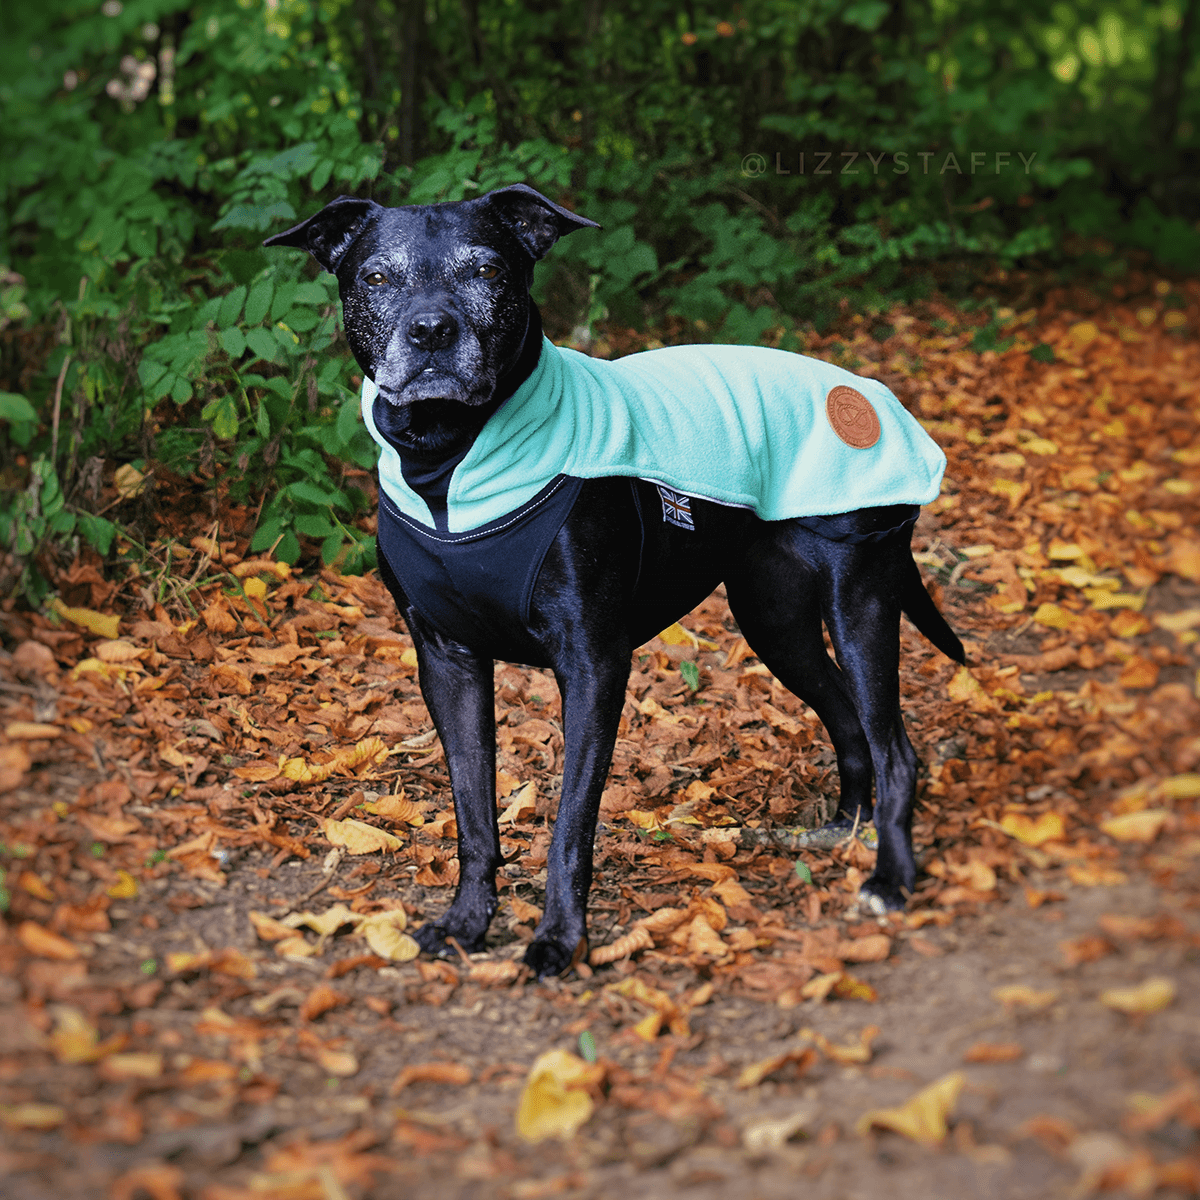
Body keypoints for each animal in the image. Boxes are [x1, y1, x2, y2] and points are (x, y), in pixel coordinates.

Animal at [265, 184, 964, 974]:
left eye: (488, 272)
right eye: (376, 277)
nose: (432, 331)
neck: (449, 459)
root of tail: (869, 393)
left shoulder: (594, 662)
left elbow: (572, 822)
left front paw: (560, 939)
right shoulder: (447, 661)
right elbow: (473, 812)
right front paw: (468, 922)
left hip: (859, 597)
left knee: (894, 747)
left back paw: (890, 877)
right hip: (775, 618)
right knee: (846, 720)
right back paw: (843, 830)